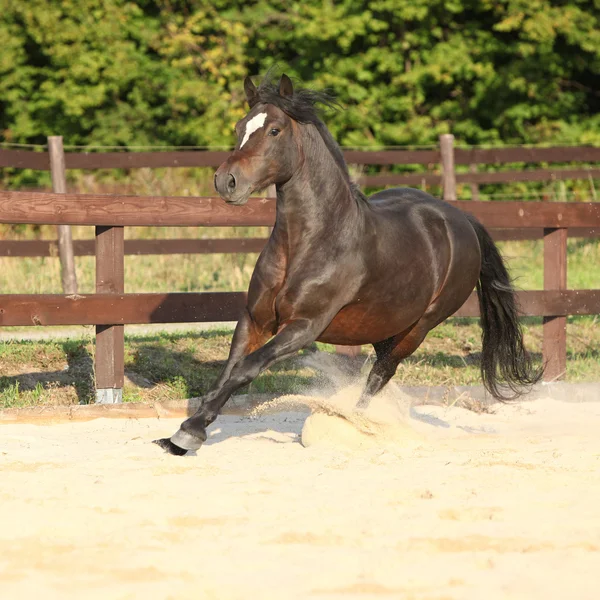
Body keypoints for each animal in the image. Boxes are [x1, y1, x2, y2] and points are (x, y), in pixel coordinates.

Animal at [154, 72, 540, 454]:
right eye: (239, 128)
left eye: (274, 130)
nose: (226, 181)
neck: (311, 242)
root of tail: (461, 219)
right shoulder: (255, 319)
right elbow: (228, 370)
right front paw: (184, 432)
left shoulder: (304, 326)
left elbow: (246, 369)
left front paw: (190, 432)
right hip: (385, 325)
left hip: (418, 328)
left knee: (380, 374)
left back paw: (354, 425)